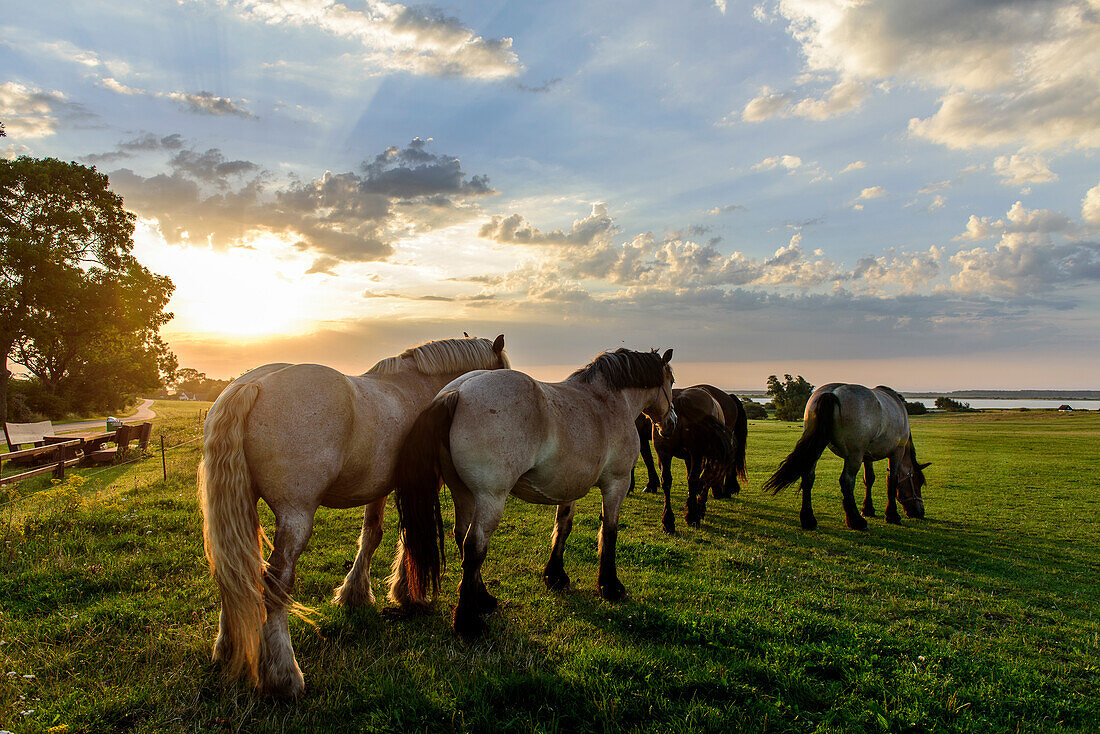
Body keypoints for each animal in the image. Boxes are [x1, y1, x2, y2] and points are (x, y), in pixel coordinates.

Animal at [196, 336, 506, 699]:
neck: (423, 386)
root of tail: (253, 384)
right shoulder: (418, 486)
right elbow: (415, 537)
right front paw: (409, 592)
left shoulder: (380, 489)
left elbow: (372, 535)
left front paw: (356, 594)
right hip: (295, 516)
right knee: (275, 583)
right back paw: (286, 676)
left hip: (242, 507)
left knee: (233, 572)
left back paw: (226, 648)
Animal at [387, 347, 677, 638]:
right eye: (671, 381)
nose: (671, 423)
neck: (608, 402)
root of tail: (457, 391)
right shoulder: (616, 483)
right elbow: (609, 532)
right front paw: (610, 586)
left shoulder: (569, 488)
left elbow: (563, 527)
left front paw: (556, 576)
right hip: (491, 498)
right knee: (474, 546)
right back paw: (468, 622)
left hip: (464, 494)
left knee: (461, 537)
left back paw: (484, 598)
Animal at [765, 382, 928, 530]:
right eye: (918, 482)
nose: (920, 512)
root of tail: (832, 393)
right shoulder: (896, 452)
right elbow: (892, 481)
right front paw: (892, 515)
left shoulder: (867, 456)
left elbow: (869, 479)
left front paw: (868, 509)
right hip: (853, 456)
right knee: (846, 481)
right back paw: (856, 521)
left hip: (816, 448)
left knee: (808, 477)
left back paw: (808, 519)